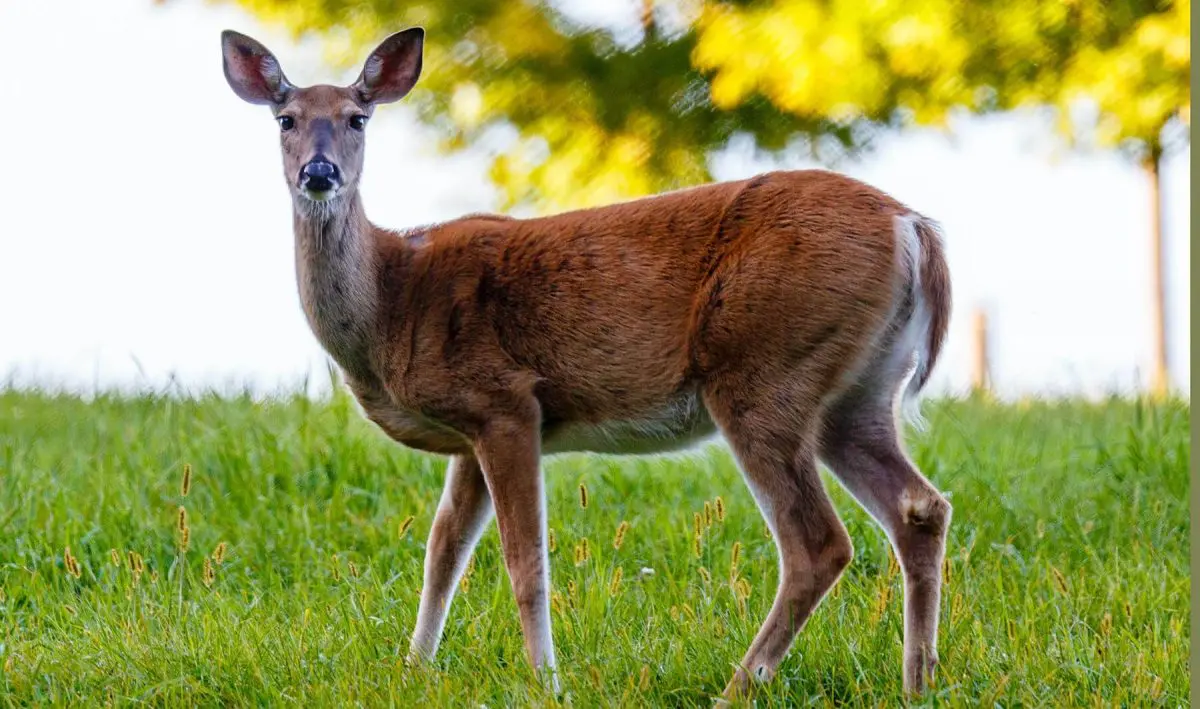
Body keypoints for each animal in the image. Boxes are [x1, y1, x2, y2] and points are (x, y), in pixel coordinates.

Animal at [220, 25, 953, 702]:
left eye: (357, 118)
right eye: (286, 119)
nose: (319, 173)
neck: (392, 300)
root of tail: (913, 227)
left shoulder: (505, 400)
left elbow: (525, 559)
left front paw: (546, 681)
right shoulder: (469, 430)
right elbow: (442, 550)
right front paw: (415, 669)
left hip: (764, 367)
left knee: (818, 542)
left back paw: (737, 687)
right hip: (856, 390)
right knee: (920, 507)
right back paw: (917, 683)